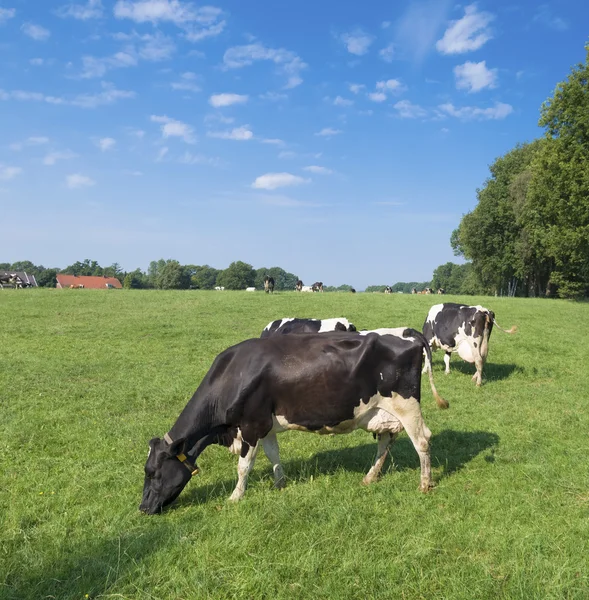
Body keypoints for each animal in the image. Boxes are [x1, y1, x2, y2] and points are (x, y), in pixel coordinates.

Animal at [140, 330, 444, 512]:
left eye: (151, 472)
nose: (143, 509)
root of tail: (408, 333)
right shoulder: (266, 426)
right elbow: (273, 454)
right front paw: (280, 484)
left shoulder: (250, 425)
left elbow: (243, 466)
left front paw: (236, 496)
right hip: (381, 412)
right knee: (386, 441)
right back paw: (370, 477)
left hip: (407, 406)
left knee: (422, 441)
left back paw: (425, 484)